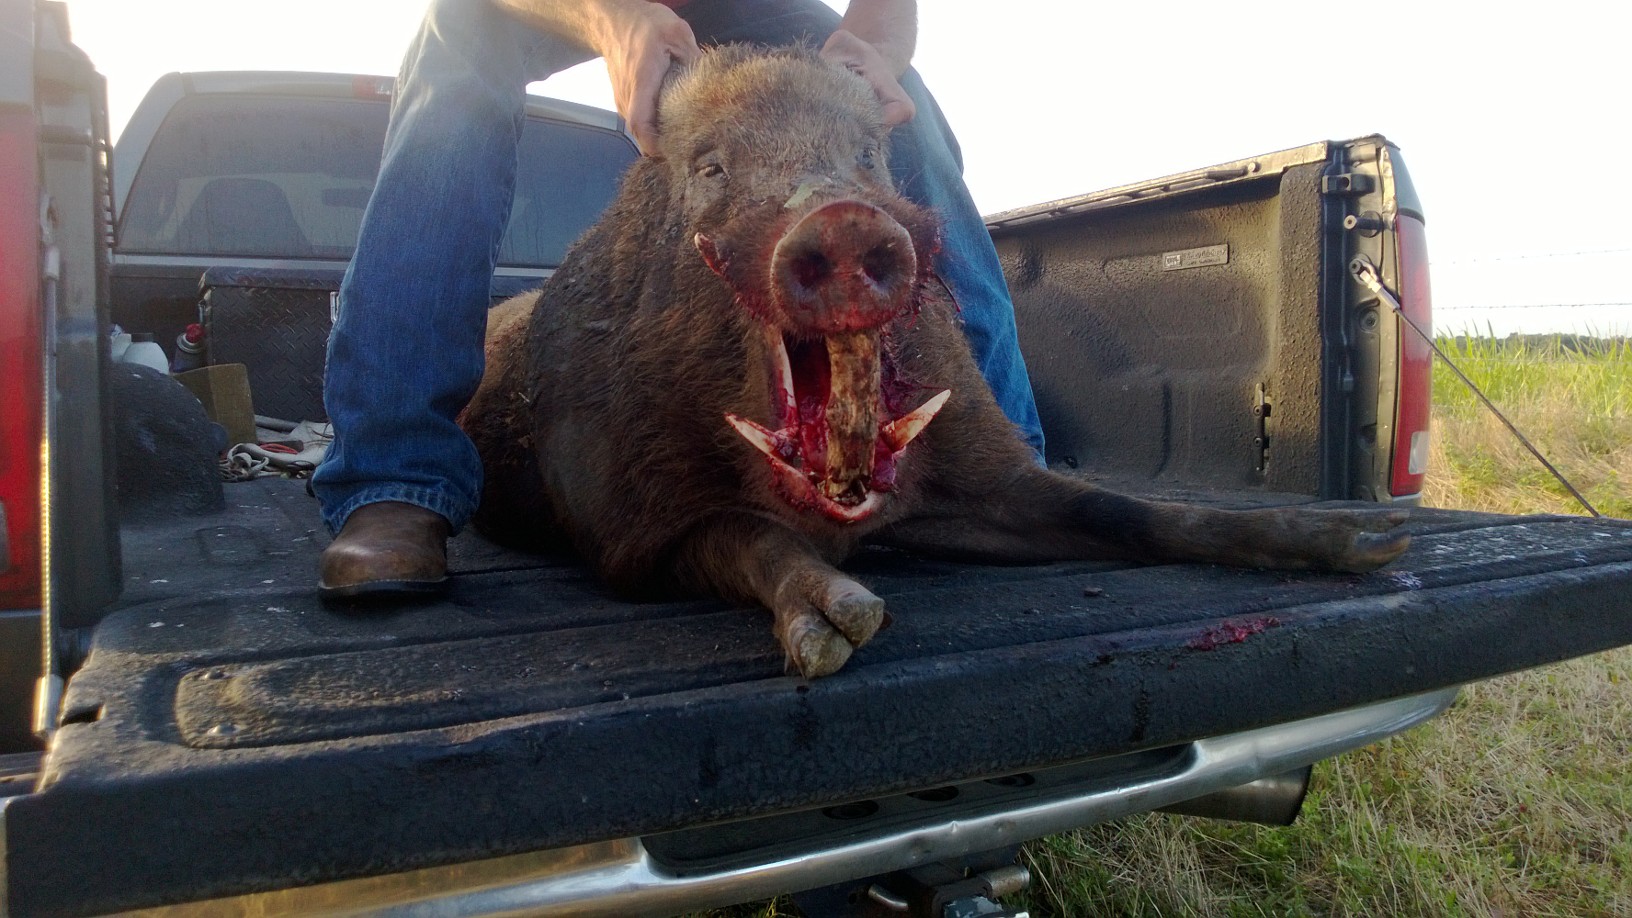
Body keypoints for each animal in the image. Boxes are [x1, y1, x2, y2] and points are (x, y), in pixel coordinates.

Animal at [459, 45, 1409, 678]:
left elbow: (1119, 510)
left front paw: (1370, 548)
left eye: (868, 157)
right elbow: (748, 534)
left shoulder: (978, 474)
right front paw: (843, 628)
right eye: (711, 168)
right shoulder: (623, 533)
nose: (842, 217)